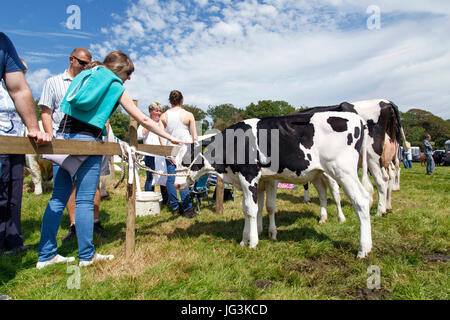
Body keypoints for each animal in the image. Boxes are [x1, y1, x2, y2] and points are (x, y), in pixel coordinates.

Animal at [172, 110, 372, 258]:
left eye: (187, 159)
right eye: (173, 160)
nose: (176, 185)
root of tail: (357, 119)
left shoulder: (250, 176)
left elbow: (252, 209)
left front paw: (253, 242)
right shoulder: (250, 180)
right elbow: (248, 209)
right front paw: (244, 240)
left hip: (342, 170)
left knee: (360, 200)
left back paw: (363, 248)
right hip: (323, 172)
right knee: (331, 194)